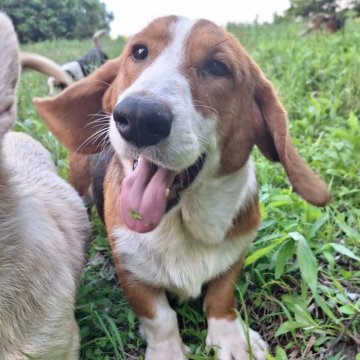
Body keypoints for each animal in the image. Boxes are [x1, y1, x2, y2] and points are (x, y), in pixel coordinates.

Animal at [33, 15, 330, 358]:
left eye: (218, 67)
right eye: (139, 51)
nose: (138, 117)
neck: (180, 223)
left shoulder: (234, 257)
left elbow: (221, 297)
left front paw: (231, 339)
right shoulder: (131, 272)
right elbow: (160, 317)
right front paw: (169, 351)